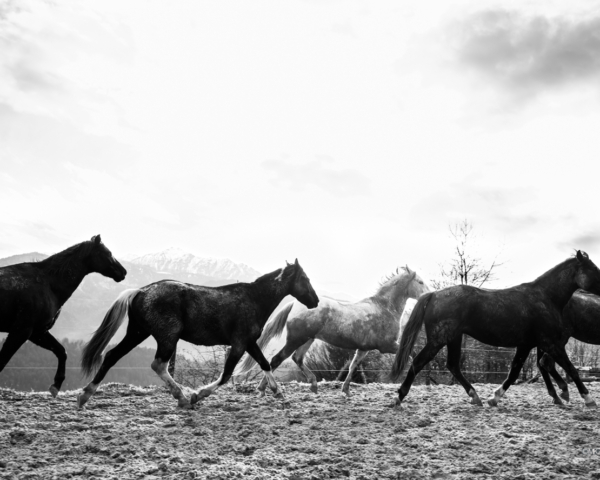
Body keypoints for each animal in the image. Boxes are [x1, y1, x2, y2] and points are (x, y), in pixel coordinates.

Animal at [0, 234, 126, 396]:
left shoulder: (37, 332)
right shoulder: (21, 331)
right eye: (108, 253)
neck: (48, 284)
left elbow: (61, 351)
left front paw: (56, 385)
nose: (123, 272)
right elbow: (2, 360)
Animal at [78, 258, 318, 408]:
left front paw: (279, 393)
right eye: (305, 279)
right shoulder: (240, 343)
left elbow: (265, 363)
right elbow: (226, 374)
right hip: (167, 338)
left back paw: (84, 397)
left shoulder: (249, 342)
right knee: (158, 365)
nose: (315, 301)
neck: (253, 299)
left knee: (111, 356)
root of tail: (141, 291)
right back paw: (183, 398)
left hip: (137, 333)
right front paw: (198, 395)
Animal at [237, 266, 428, 394]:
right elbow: (410, 358)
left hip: (308, 339)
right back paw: (266, 389)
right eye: (420, 282)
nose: (428, 295)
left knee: (297, 358)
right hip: (296, 340)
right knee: (277, 359)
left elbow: (352, 366)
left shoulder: (363, 349)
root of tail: (295, 304)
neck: (384, 308)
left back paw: (312, 385)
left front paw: (345, 390)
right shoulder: (387, 346)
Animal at [390, 251, 600, 408]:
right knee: (418, 363)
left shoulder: (526, 345)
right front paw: (588, 399)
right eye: (593, 269)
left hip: (453, 338)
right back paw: (399, 398)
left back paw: (475, 396)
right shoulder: (551, 343)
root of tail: (434, 295)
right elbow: (571, 369)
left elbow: (514, 372)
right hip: (438, 340)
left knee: (453, 365)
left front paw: (495, 397)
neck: (544, 297)